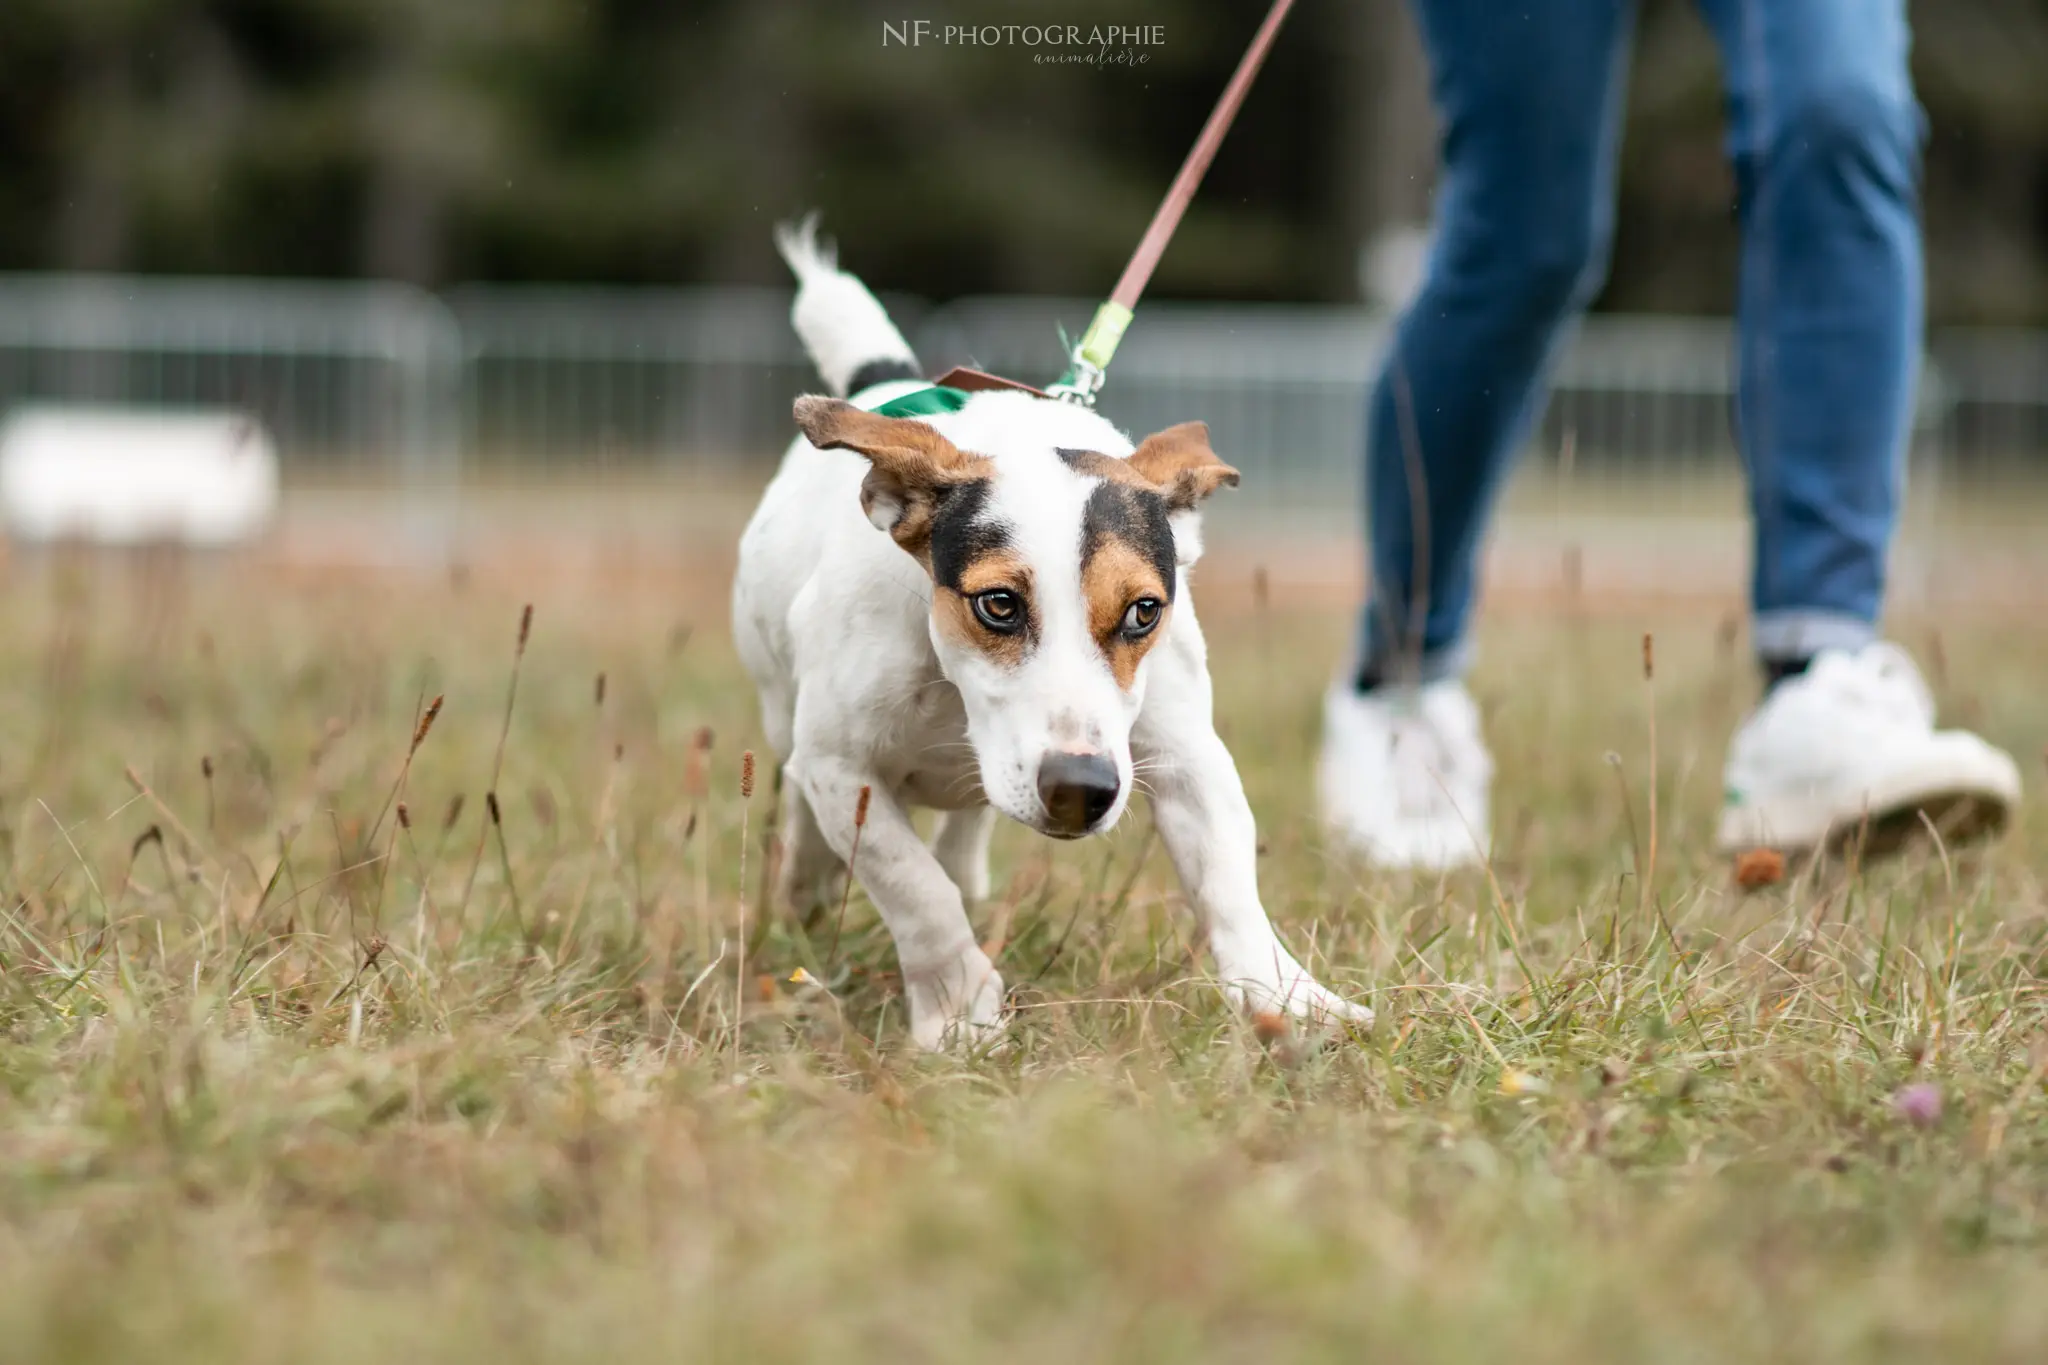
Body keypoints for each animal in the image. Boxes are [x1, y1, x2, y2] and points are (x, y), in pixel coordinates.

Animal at [737, 224, 1376, 1055]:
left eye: (1143, 611)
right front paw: (960, 1013)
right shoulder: (841, 767)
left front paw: (1293, 1001)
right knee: (809, 798)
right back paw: (810, 877)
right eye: (999, 603)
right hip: (786, 710)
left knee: (965, 824)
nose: (1081, 788)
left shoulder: (1187, 756)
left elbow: (1230, 886)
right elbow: (915, 889)